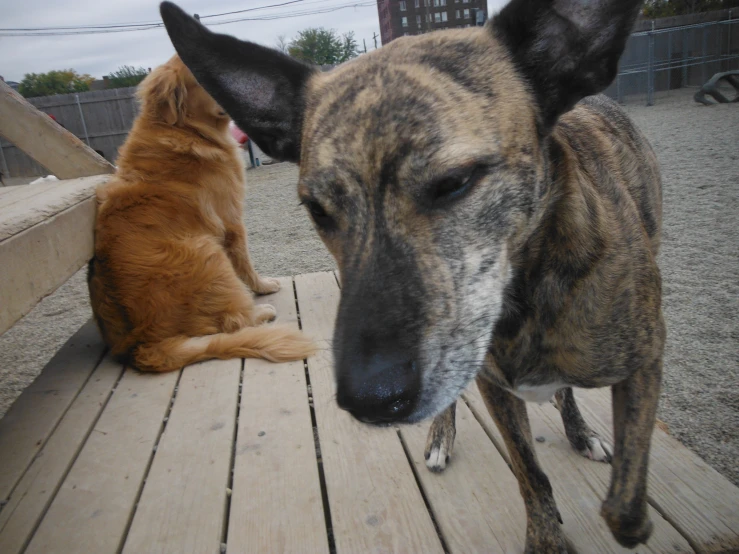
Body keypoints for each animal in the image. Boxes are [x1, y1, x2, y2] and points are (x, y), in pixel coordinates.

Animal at [160, 2, 664, 548]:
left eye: (455, 182)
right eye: (317, 210)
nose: (370, 400)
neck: (522, 296)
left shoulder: (646, 358)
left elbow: (625, 507)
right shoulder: (492, 385)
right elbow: (531, 476)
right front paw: (546, 538)